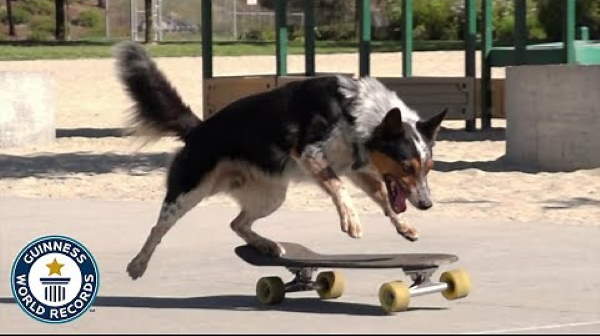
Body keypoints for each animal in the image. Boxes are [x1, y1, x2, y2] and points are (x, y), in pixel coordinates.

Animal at [117, 40, 446, 280]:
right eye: (406, 166)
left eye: (428, 169)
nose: (427, 204)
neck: (356, 113)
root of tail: (197, 128)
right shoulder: (312, 154)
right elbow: (339, 188)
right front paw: (351, 221)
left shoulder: (356, 169)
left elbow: (381, 197)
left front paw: (404, 227)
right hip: (187, 193)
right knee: (157, 229)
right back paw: (137, 264)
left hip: (272, 196)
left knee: (237, 223)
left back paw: (265, 244)